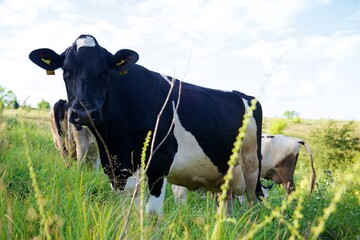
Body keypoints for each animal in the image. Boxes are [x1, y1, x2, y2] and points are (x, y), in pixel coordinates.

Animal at [29, 33, 262, 216]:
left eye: (104, 72)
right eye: (66, 72)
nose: (84, 113)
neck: (115, 144)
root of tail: (244, 95)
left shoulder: (159, 163)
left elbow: (151, 215)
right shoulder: (119, 173)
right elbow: (128, 213)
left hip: (252, 165)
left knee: (254, 202)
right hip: (225, 176)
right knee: (226, 207)